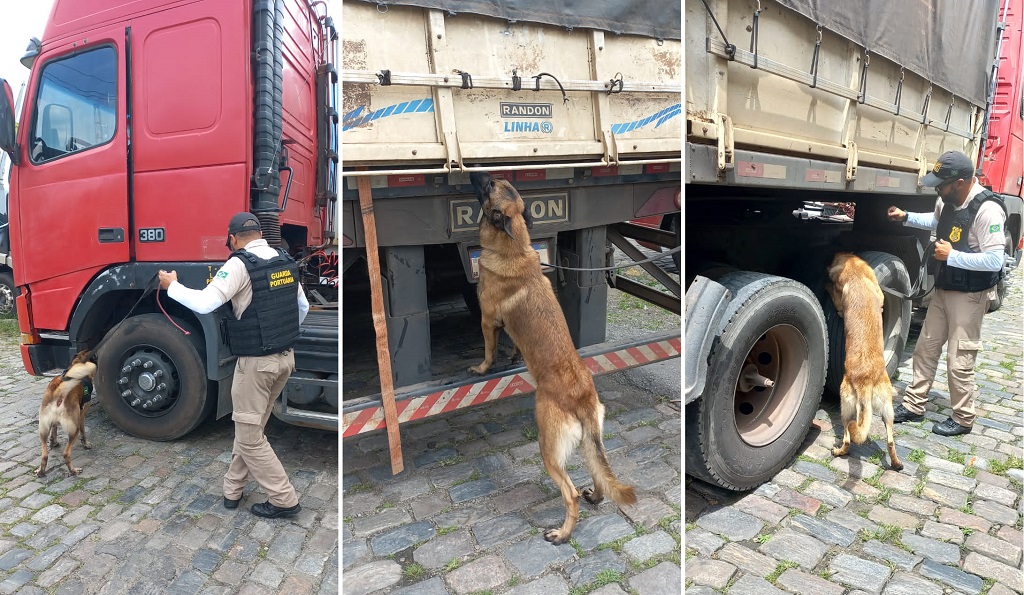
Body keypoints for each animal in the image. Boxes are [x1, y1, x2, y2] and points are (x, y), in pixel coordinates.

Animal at [468, 171, 634, 544]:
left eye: (489, 186)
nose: (474, 172)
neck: (514, 246)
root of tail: (583, 397)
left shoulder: (487, 321)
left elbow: (488, 349)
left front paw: (482, 367)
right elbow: (512, 347)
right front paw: (512, 358)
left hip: (548, 448)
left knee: (569, 494)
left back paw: (562, 533)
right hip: (589, 440)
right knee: (598, 472)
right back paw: (595, 497)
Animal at [823, 252, 905, 471]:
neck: (856, 274)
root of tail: (865, 380)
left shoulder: (839, 304)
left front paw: (826, 284)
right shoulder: (881, 294)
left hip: (845, 407)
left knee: (848, 439)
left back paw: (838, 451)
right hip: (888, 410)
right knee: (890, 441)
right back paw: (897, 464)